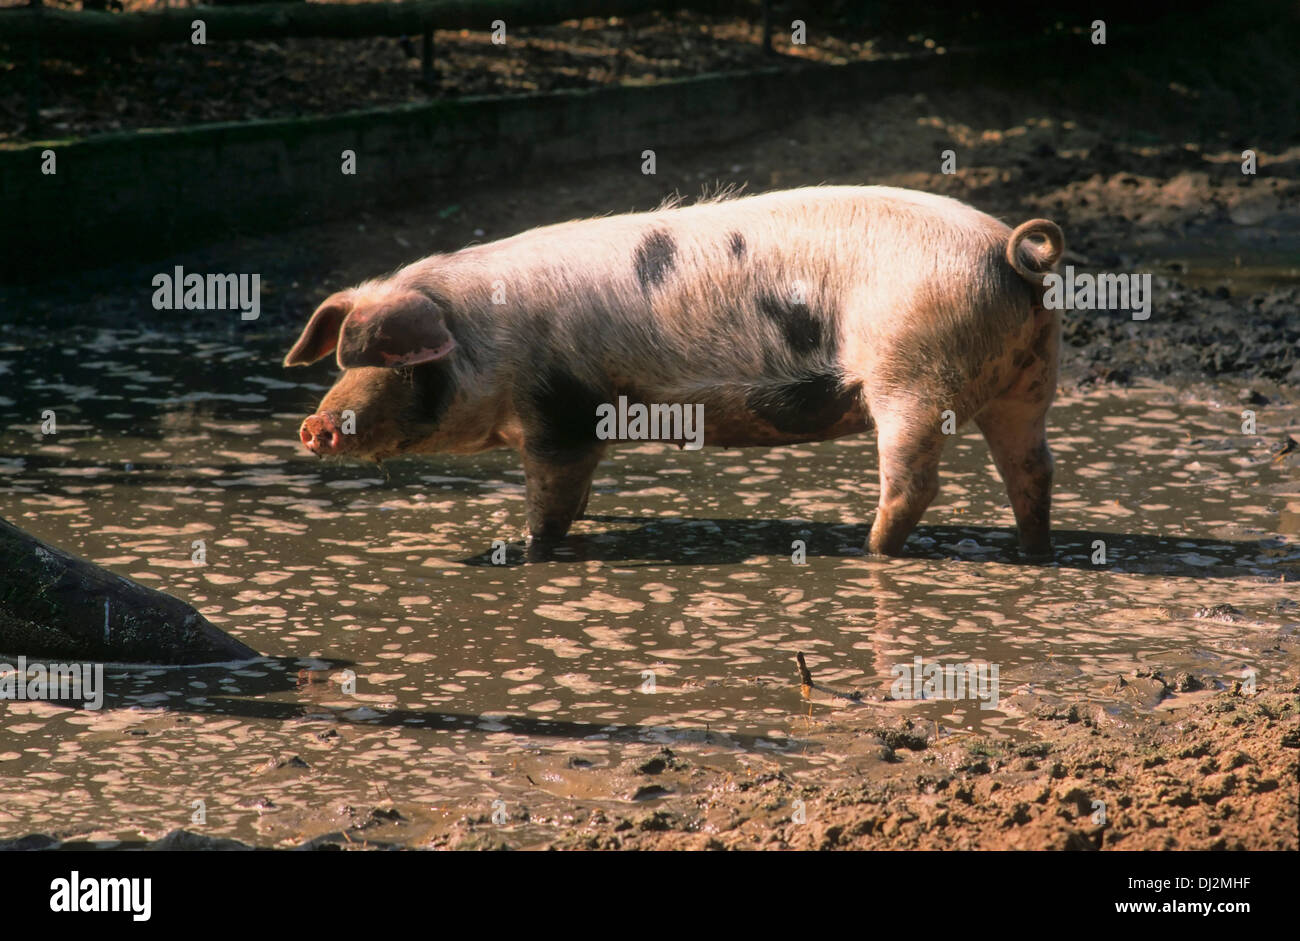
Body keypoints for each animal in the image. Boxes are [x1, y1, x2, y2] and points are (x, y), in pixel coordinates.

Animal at [285, 186, 1064, 559]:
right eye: (343, 359)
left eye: (395, 362)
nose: (315, 423)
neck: (490, 338)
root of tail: (1011, 253)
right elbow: (579, 490)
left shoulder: (561, 410)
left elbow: (551, 496)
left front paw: (529, 550)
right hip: (1028, 379)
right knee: (1033, 467)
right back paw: (1032, 551)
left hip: (911, 373)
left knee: (914, 482)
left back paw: (866, 552)